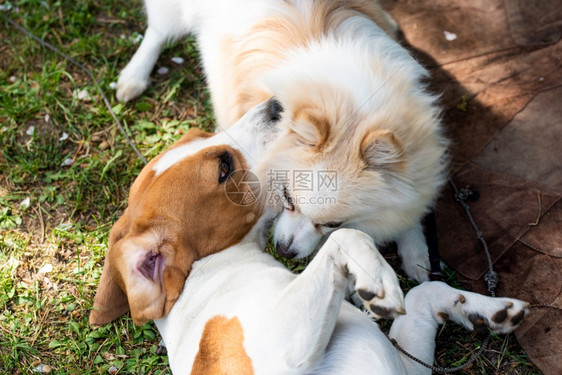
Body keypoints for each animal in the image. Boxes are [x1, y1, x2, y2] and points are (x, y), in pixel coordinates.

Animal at [89, 100, 528, 375]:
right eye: (224, 168)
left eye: (201, 134)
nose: (275, 104)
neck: (217, 269)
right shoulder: (287, 348)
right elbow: (344, 236)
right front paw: (377, 280)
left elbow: (424, 292)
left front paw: (481, 309)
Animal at [116, 0, 448, 284]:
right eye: (288, 197)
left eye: (333, 224)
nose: (285, 251)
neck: (347, 104)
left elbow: (410, 210)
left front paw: (416, 251)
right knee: (157, 31)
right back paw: (133, 76)